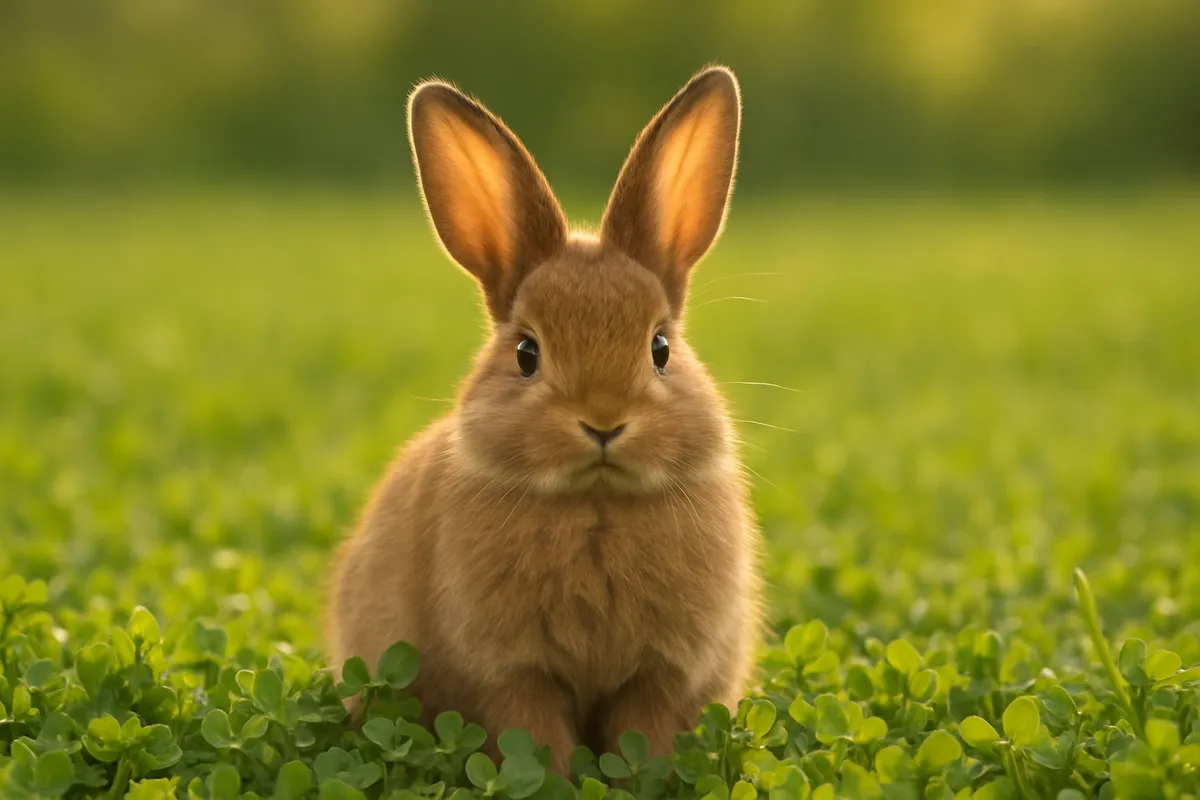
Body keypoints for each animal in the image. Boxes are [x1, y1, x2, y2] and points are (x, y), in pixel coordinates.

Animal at [325, 65, 762, 776]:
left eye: (660, 349)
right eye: (527, 354)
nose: (604, 422)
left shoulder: (661, 677)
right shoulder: (515, 675)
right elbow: (536, 742)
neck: (596, 503)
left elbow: (646, 740)